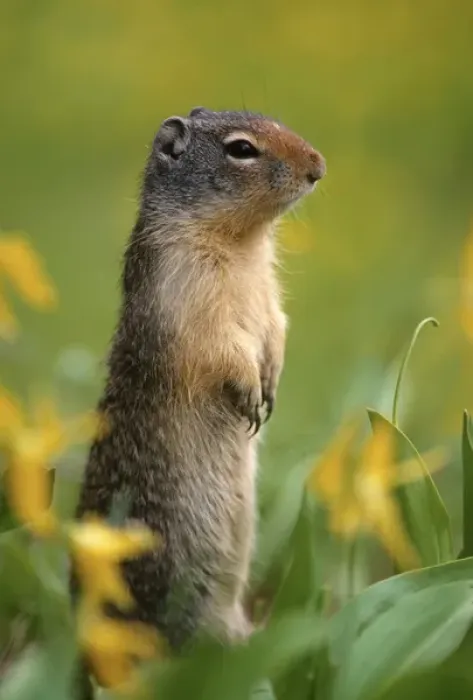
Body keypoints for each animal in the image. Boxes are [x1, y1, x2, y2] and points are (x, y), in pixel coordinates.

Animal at [73, 106, 325, 671]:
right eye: (241, 149)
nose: (318, 166)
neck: (242, 242)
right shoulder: (184, 291)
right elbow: (219, 347)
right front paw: (251, 392)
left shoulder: (268, 294)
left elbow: (277, 324)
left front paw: (271, 383)